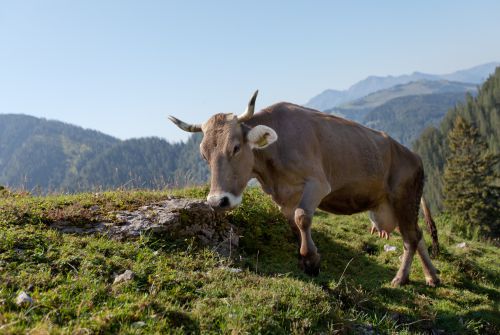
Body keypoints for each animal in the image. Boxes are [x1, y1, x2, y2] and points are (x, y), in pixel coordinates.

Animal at [169, 90, 442, 288]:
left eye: (235, 147)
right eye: (203, 155)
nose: (218, 202)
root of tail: (413, 155)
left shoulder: (318, 184)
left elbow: (302, 217)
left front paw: (312, 260)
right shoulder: (283, 196)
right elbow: (293, 223)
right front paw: (303, 258)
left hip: (404, 199)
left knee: (411, 238)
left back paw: (400, 278)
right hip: (393, 206)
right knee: (417, 237)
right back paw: (432, 277)